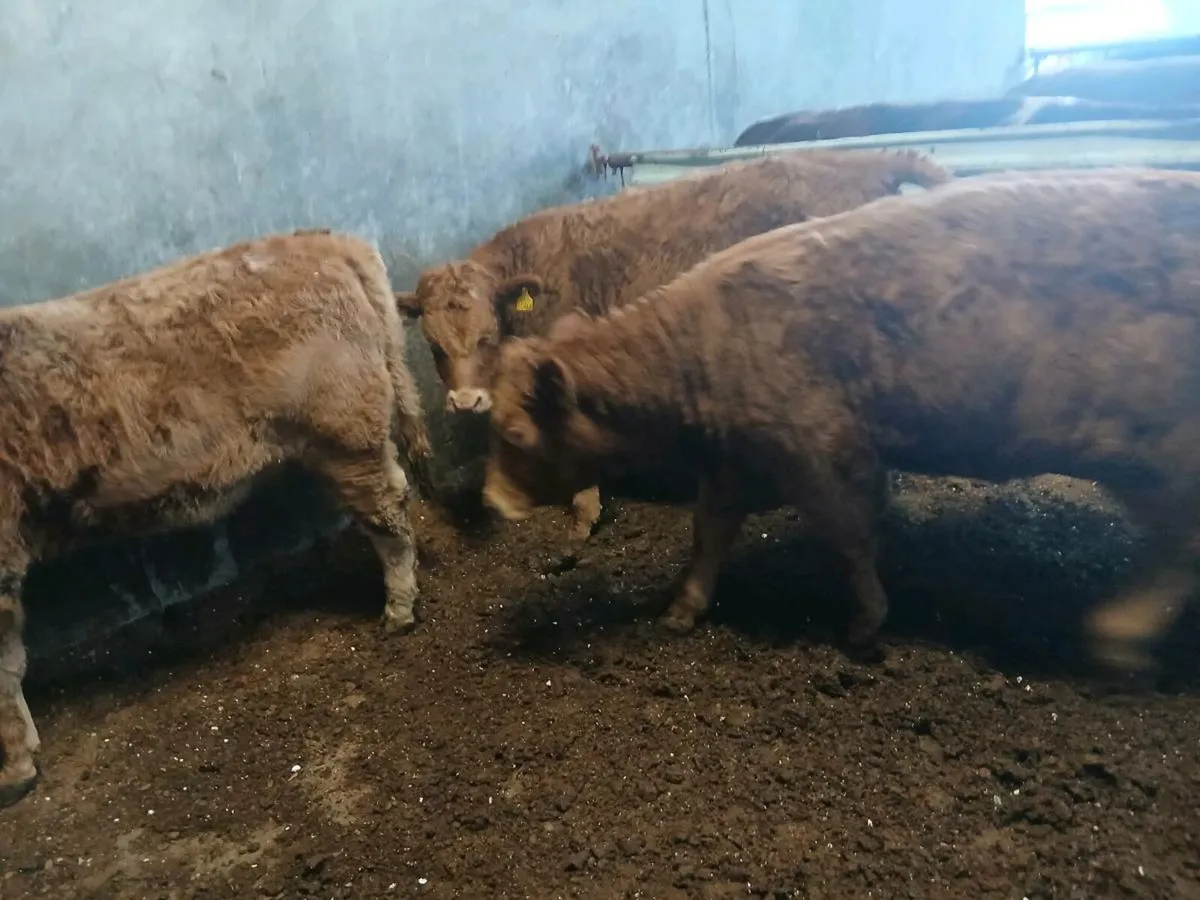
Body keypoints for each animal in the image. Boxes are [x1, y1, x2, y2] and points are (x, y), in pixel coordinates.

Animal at [479, 167, 1200, 674]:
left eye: (514, 435)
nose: (490, 500)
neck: (704, 341)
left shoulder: (821, 455)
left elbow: (852, 537)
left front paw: (865, 621)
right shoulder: (734, 462)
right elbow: (709, 535)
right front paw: (683, 607)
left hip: (1157, 460)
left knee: (1180, 549)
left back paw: (1119, 634)